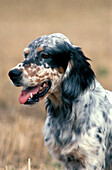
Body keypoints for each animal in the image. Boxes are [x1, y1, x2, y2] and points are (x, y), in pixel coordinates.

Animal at [8, 32, 112, 169]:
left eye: (45, 55)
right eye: (25, 54)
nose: (12, 74)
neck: (66, 112)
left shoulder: (92, 161)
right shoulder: (67, 162)